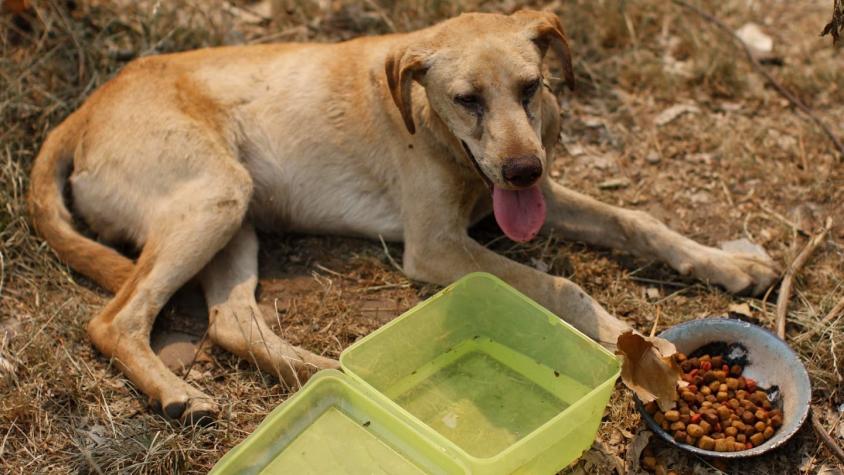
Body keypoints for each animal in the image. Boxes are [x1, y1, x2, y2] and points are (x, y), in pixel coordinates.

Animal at [26, 9, 780, 422]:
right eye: (467, 99)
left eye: (532, 88)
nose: (521, 172)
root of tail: (84, 109)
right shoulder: (438, 246)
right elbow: (563, 286)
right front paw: (642, 350)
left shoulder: (537, 198)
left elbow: (636, 220)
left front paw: (727, 264)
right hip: (214, 196)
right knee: (114, 319)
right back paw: (176, 392)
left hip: (236, 214)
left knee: (232, 322)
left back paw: (322, 372)